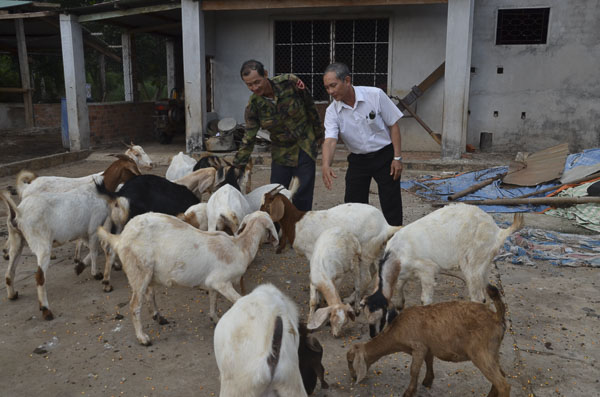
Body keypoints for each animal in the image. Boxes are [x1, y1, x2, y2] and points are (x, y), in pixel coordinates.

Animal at [0, 187, 110, 320]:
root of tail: (19, 212)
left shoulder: (83, 233)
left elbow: (92, 249)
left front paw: (80, 266)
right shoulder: (93, 229)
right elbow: (94, 250)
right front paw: (96, 274)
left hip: (17, 240)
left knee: (10, 271)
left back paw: (12, 295)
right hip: (42, 244)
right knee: (39, 276)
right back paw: (46, 310)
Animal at [97, 210, 278, 344]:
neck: (240, 247)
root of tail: (121, 238)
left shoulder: (214, 282)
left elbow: (213, 299)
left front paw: (215, 318)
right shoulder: (222, 281)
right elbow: (240, 300)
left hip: (148, 272)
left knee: (149, 293)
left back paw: (158, 317)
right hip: (138, 271)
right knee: (135, 305)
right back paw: (143, 338)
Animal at [346, 284, 510, 396]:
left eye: (351, 361)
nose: (353, 377)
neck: (396, 330)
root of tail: (496, 316)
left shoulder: (418, 347)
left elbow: (414, 370)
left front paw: (409, 392)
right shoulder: (428, 346)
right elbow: (429, 362)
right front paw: (428, 381)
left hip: (480, 352)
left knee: (502, 383)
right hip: (492, 351)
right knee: (502, 375)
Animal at [358, 203, 524, 336]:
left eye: (380, 316)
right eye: (367, 316)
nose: (373, 335)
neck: (396, 254)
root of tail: (497, 232)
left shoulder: (427, 270)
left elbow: (425, 299)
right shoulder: (403, 273)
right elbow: (399, 289)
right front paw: (399, 307)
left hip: (472, 262)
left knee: (477, 297)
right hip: (483, 264)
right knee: (488, 291)